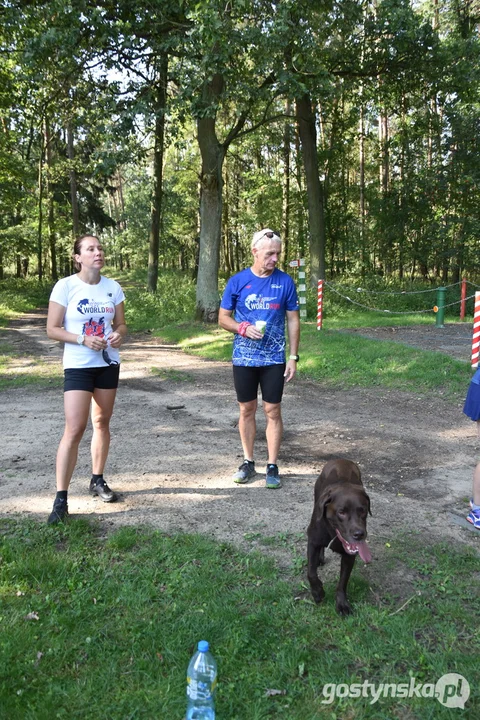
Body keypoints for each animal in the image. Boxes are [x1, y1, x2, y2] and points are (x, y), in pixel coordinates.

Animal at [308, 458, 372, 616]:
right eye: (341, 512)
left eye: (363, 510)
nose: (359, 534)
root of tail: (341, 459)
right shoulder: (312, 541)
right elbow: (311, 573)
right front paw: (318, 592)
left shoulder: (349, 556)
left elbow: (343, 582)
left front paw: (342, 604)